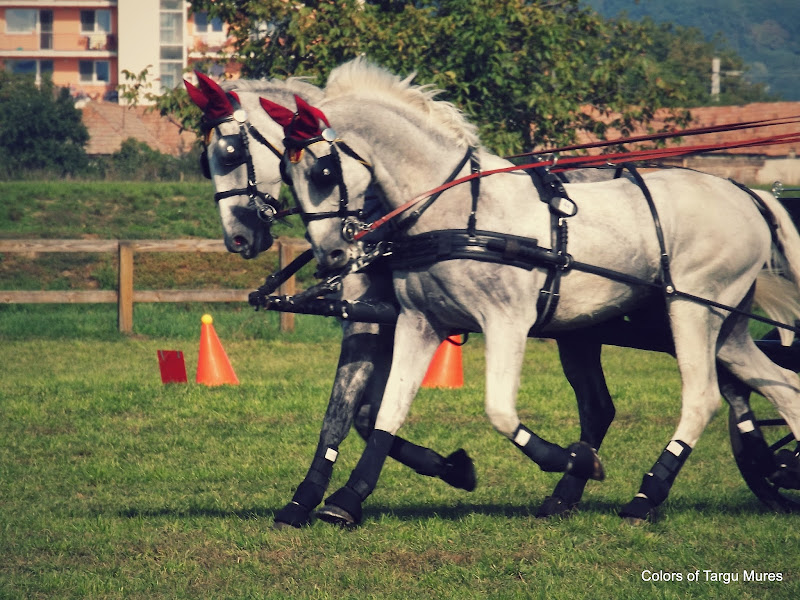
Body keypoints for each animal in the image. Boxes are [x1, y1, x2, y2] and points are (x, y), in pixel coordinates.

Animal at [260, 57, 800, 524]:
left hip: (690, 310)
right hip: (724, 326)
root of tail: (747, 195)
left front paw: (577, 462)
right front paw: (346, 501)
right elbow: (387, 412)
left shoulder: (507, 324)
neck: (458, 210)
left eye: (322, 171)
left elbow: (499, 412)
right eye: (285, 172)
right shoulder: (418, 323)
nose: (332, 255)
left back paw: (647, 495)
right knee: (783, 388)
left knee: (704, 396)